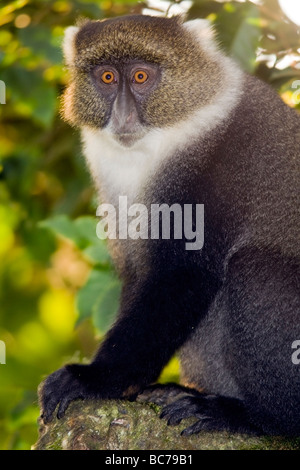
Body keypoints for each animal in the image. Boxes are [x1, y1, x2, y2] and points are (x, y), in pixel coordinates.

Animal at [39, 12, 300, 436]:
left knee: (254, 270)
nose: (123, 115)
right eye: (107, 77)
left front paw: (91, 379)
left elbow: (183, 275)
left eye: (141, 76)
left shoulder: (221, 165)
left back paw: (257, 418)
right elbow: (140, 275)